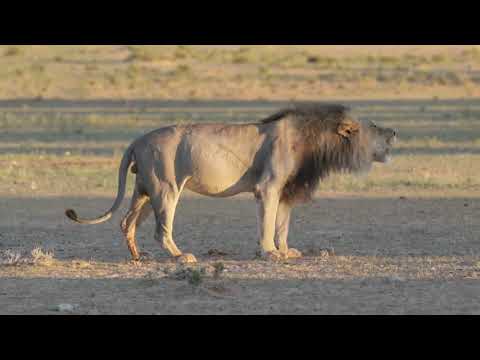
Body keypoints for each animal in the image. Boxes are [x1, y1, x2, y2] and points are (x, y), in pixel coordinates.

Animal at [66, 102, 398, 262]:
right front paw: (269, 253)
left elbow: (282, 225)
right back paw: (181, 257)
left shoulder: (286, 192)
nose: (394, 131)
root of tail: (137, 140)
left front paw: (286, 250)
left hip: (144, 191)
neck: (316, 142)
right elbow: (267, 224)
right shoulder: (268, 188)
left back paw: (138, 257)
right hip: (166, 188)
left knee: (127, 223)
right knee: (161, 230)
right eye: (375, 126)